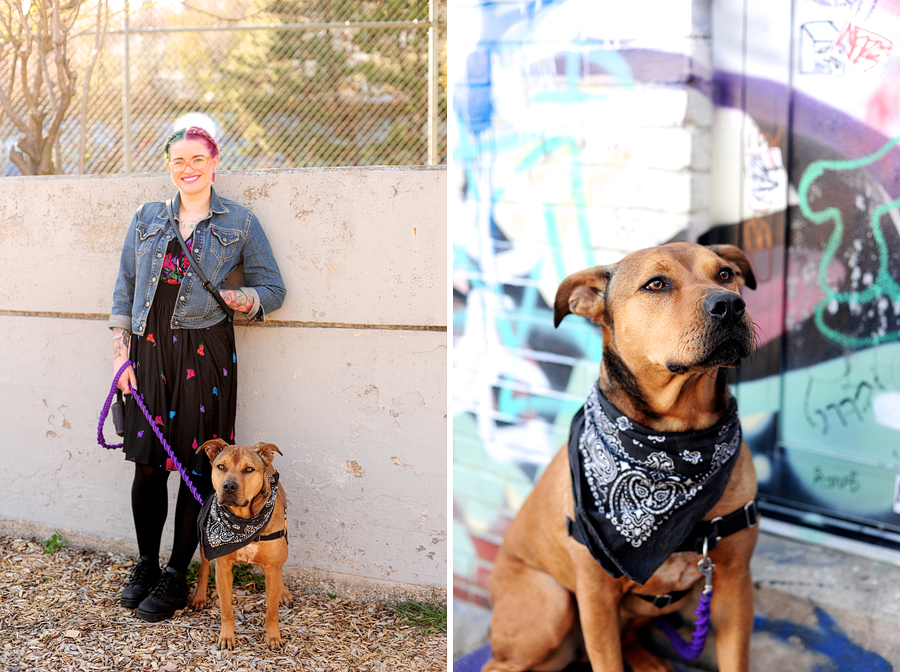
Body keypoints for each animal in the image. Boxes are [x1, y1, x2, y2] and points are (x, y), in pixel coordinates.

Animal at [192, 438, 294, 648]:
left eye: (248, 469)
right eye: (221, 467)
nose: (229, 486)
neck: (243, 523)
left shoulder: (272, 567)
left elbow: (272, 611)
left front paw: (273, 637)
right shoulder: (223, 568)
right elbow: (226, 610)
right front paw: (226, 636)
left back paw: (283, 592)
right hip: (204, 544)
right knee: (204, 567)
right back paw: (199, 597)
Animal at [486, 244, 760, 672]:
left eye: (725, 274)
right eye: (656, 284)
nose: (730, 305)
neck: (678, 437)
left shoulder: (734, 587)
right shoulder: (596, 598)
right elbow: (608, 660)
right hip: (551, 607)